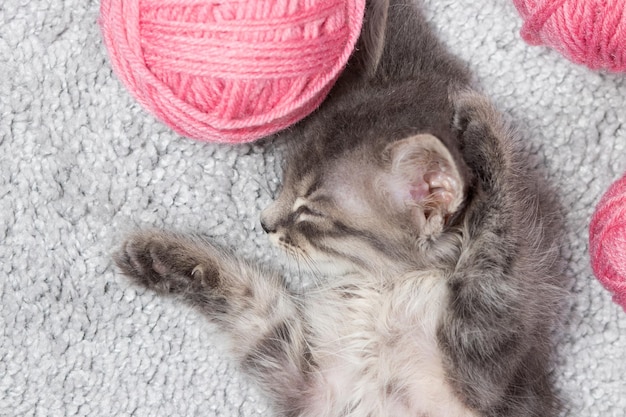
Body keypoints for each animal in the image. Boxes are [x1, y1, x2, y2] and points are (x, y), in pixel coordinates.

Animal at [113, 1, 564, 414]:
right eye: (282, 182)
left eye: (310, 213)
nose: (264, 224)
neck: (387, 286)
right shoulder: (308, 380)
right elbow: (256, 302)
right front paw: (162, 256)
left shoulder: (485, 369)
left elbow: (495, 252)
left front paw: (487, 131)